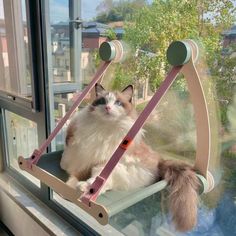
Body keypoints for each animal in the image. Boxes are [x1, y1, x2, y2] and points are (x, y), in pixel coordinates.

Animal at [60, 84, 199, 231]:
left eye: (118, 103)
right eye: (103, 101)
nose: (107, 108)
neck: (104, 130)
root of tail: (161, 160)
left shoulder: (103, 162)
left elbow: (93, 177)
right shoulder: (79, 151)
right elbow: (69, 165)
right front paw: (68, 181)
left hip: (121, 167)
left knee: (103, 183)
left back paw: (85, 188)